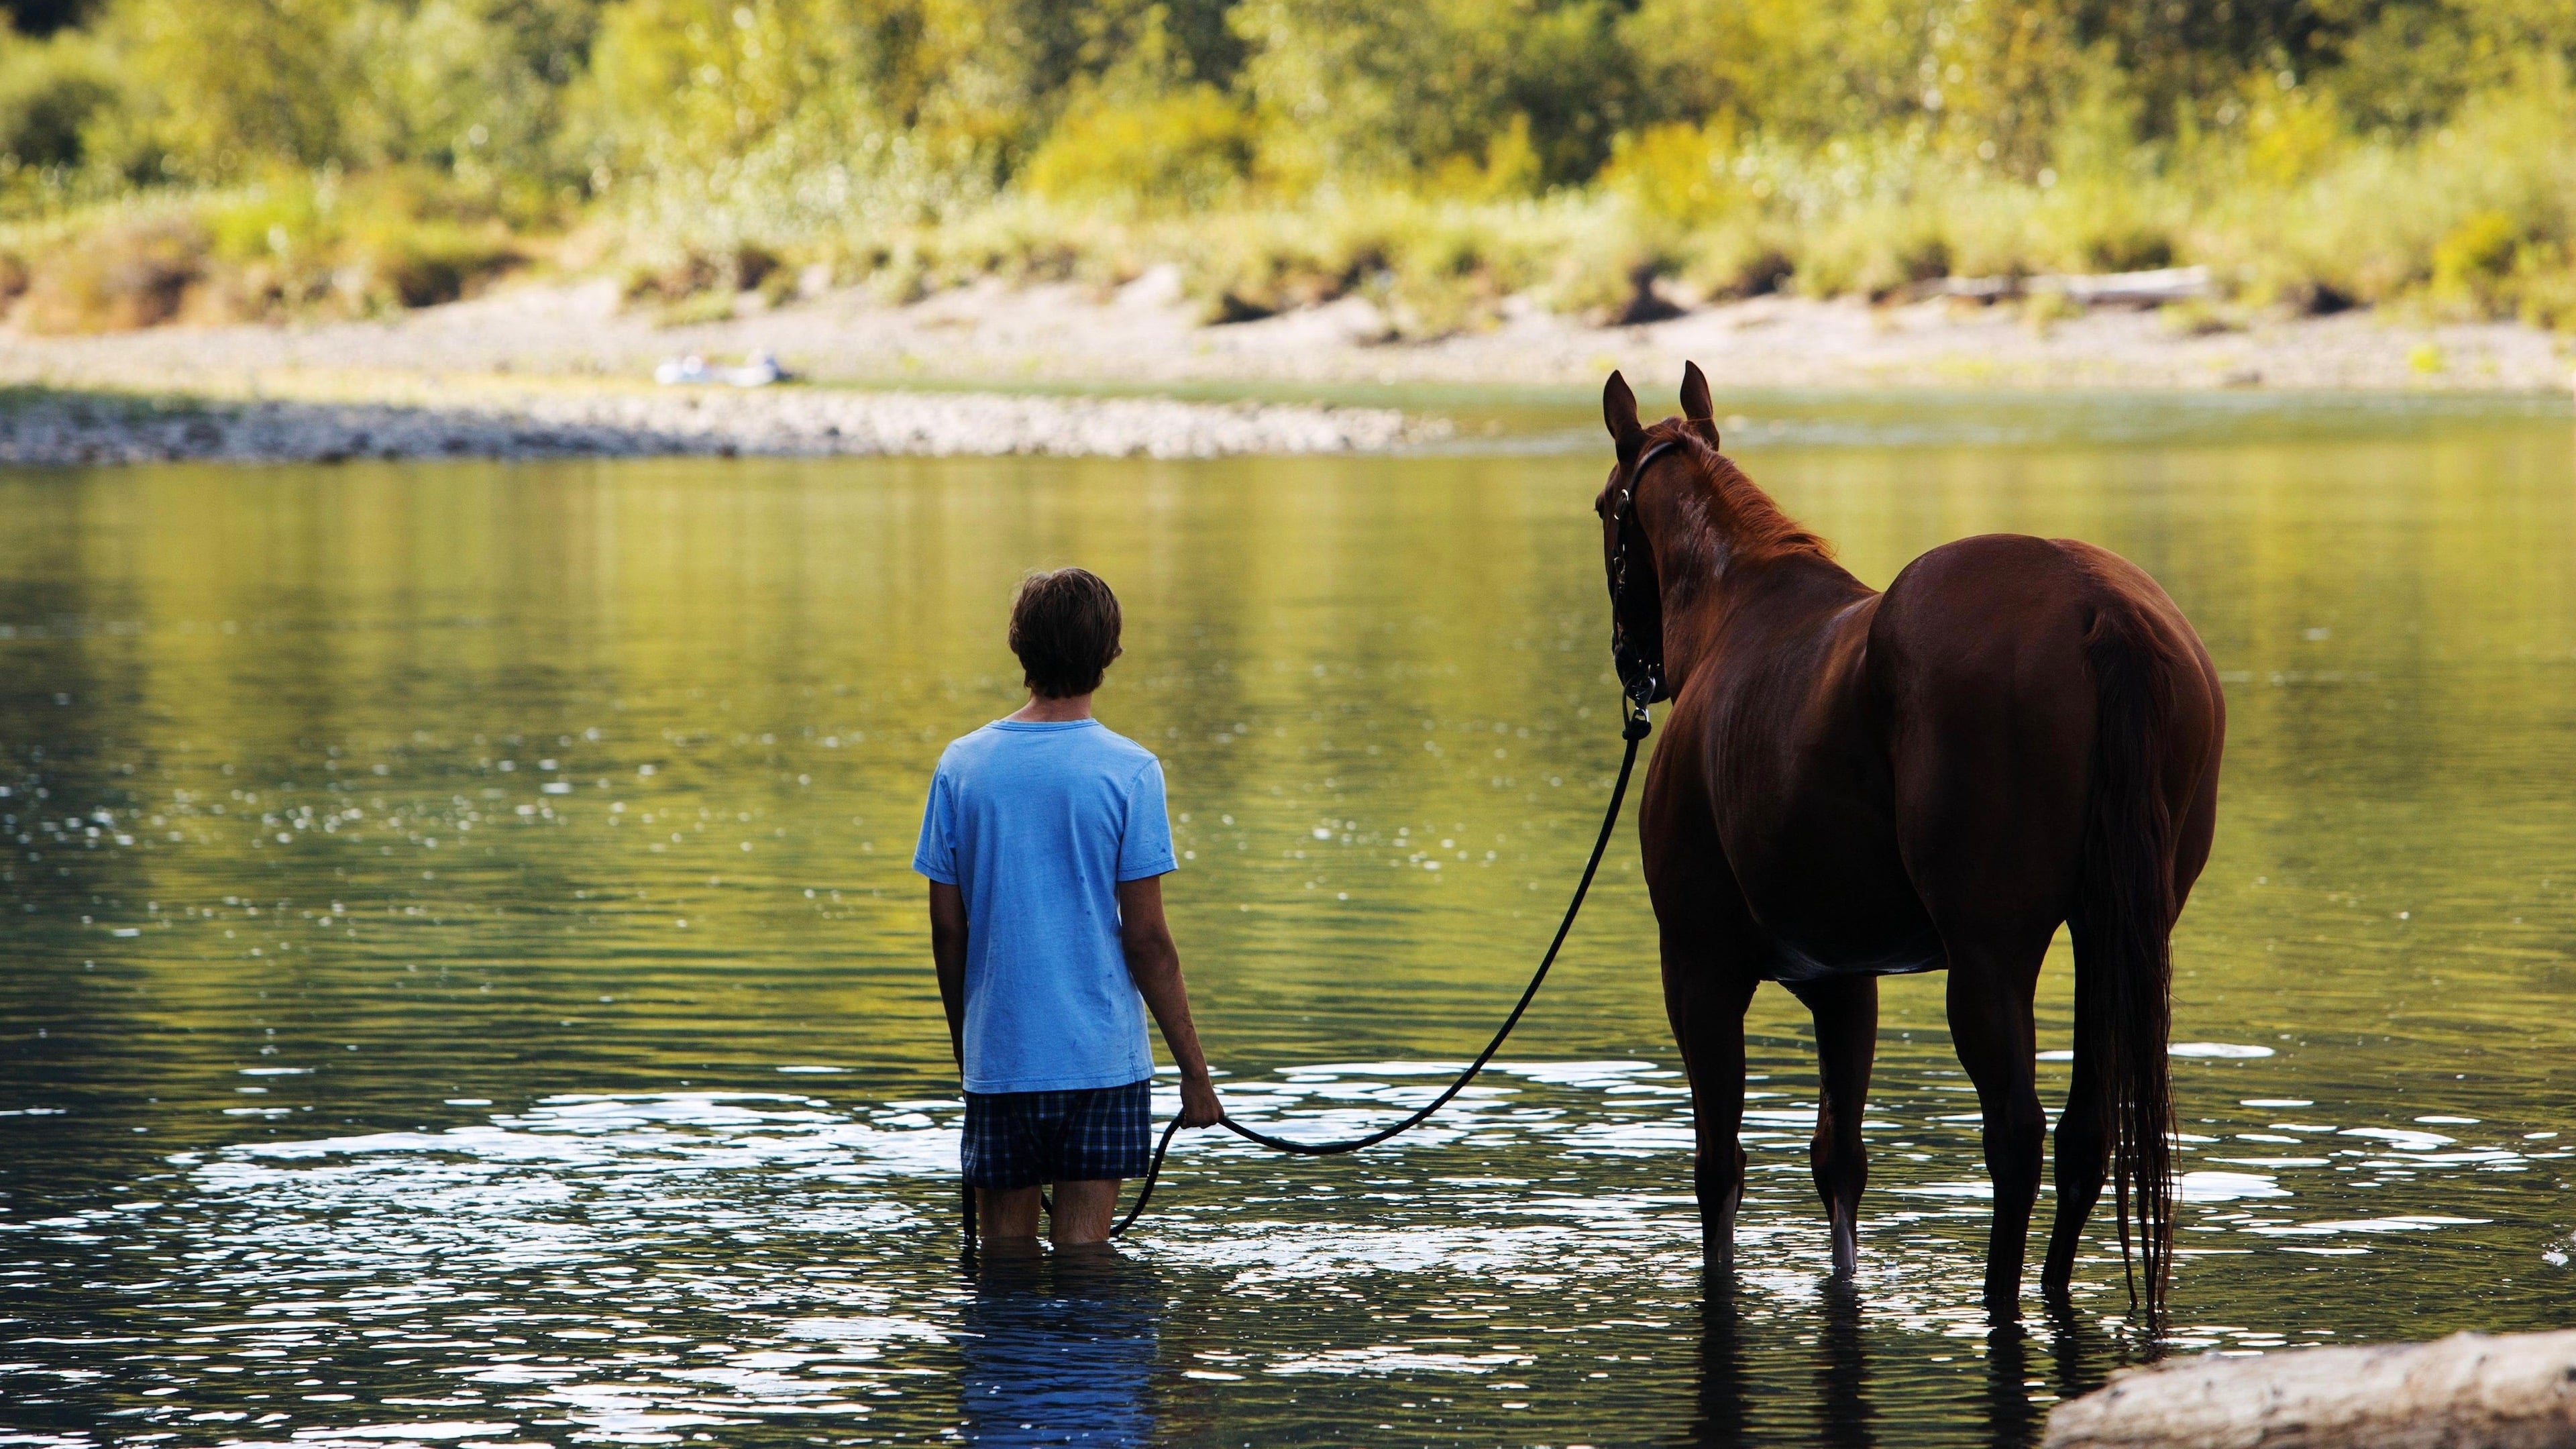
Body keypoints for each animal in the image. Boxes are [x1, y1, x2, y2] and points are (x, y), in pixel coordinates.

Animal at [1597, 363, 2225, 1320]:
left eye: (1605, 509)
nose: (1635, 663)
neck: (1739, 609)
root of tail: (2099, 602)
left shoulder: (1698, 970)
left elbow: (1720, 1169)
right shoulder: (1844, 983)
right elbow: (1839, 1163)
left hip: (1991, 955)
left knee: (2017, 1134)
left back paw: (2000, 1297)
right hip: (2109, 935)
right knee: (2085, 1134)